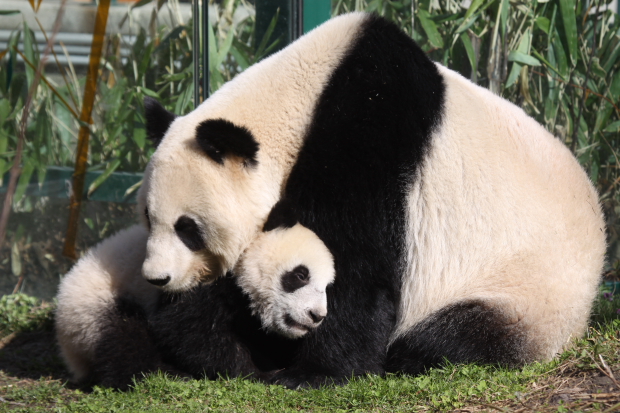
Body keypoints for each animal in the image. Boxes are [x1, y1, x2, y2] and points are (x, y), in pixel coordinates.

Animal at [140, 11, 604, 388]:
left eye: (188, 229)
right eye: (148, 218)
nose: (157, 278)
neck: (298, 103)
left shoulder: (369, 133)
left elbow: (355, 264)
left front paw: (312, 372)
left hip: (525, 294)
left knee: (454, 338)